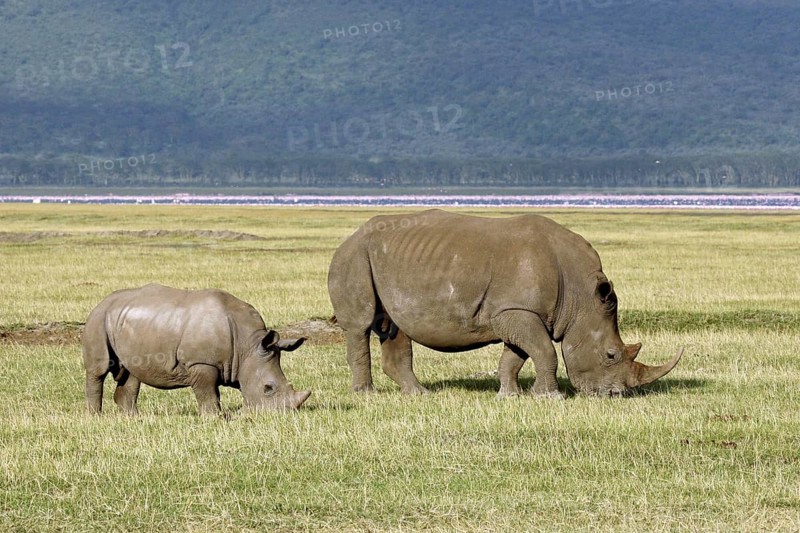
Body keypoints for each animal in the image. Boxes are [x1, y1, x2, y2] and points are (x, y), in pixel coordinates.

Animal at [82, 284, 311, 415]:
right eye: (267, 388)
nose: (281, 415)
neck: (248, 347)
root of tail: (102, 301)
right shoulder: (201, 362)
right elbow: (208, 392)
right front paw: (215, 418)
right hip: (98, 318)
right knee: (99, 370)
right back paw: (96, 416)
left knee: (131, 373)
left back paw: (133, 418)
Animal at [328, 209, 683, 398]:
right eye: (610, 355)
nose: (614, 394)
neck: (580, 297)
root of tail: (349, 237)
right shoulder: (516, 311)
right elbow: (544, 351)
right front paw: (550, 396)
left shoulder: (519, 312)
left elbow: (517, 356)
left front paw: (511, 395)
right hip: (353, 257)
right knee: (360, 326)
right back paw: (365, 394)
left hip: (383, 261)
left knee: (395, 327)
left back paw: (419, 394)